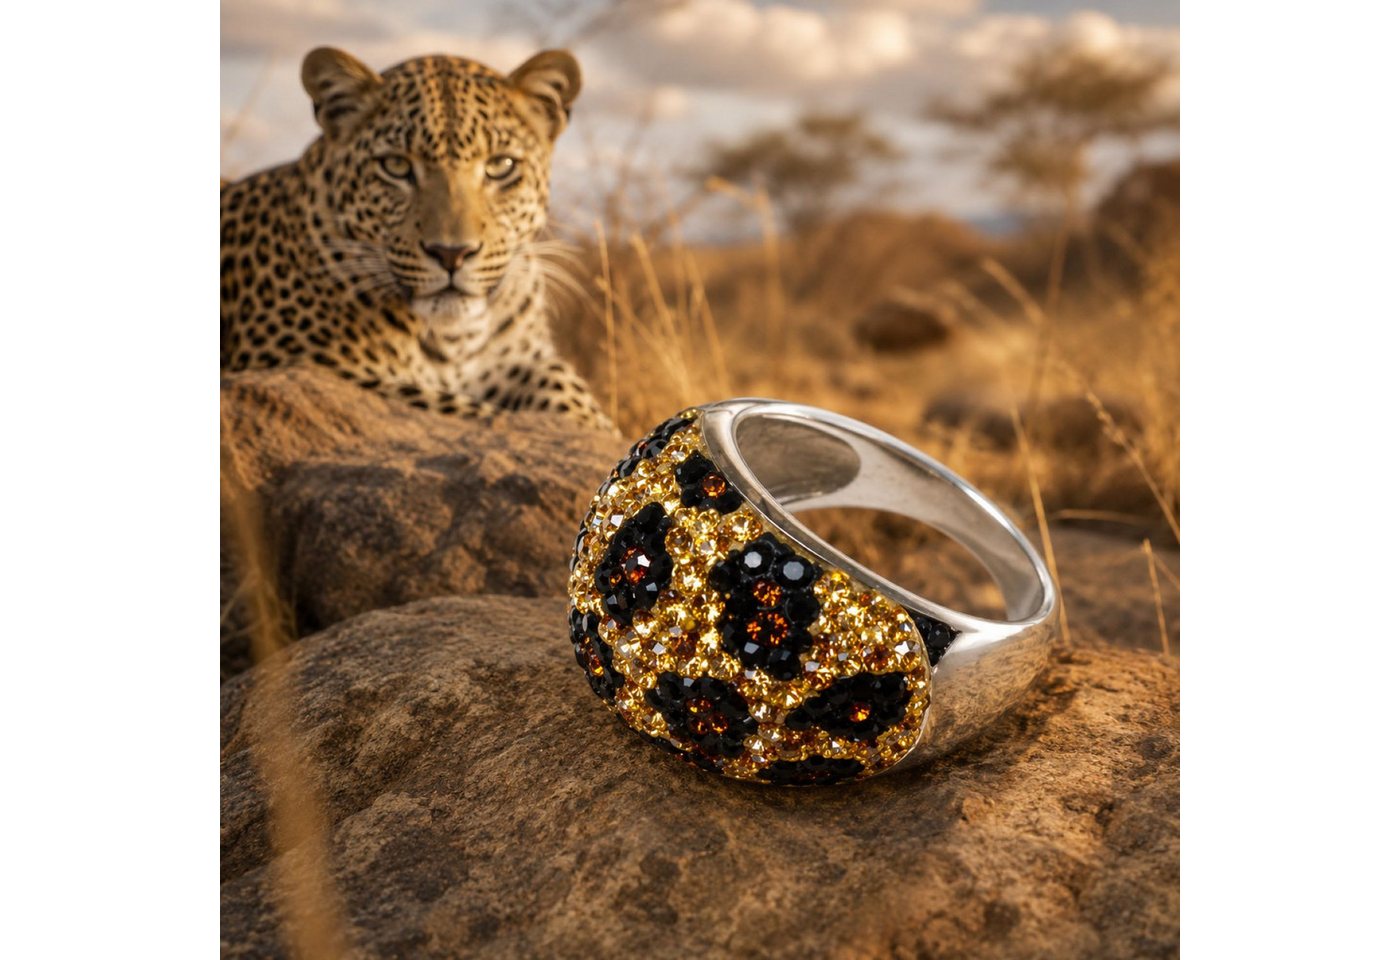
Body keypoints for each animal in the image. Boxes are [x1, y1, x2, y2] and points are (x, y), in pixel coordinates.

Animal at [220, 46, 612, 429]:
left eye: (501, 166)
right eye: (395, 166)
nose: (452, 254)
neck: (456, 339)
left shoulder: (527, 360)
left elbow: (568, 392)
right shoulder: (308, 368)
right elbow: (473, 411)